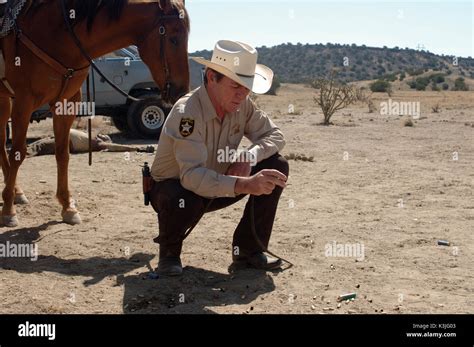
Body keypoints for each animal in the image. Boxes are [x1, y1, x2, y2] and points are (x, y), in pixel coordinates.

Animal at [0, 0, 189, 227]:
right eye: (174, 38)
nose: (181, 90)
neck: (57, 35)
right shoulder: (24, 101)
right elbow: (18, 153)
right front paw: (8, 211)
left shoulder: (66, 103)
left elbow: (62, 153)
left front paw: (68, 207)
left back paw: (17, 193)